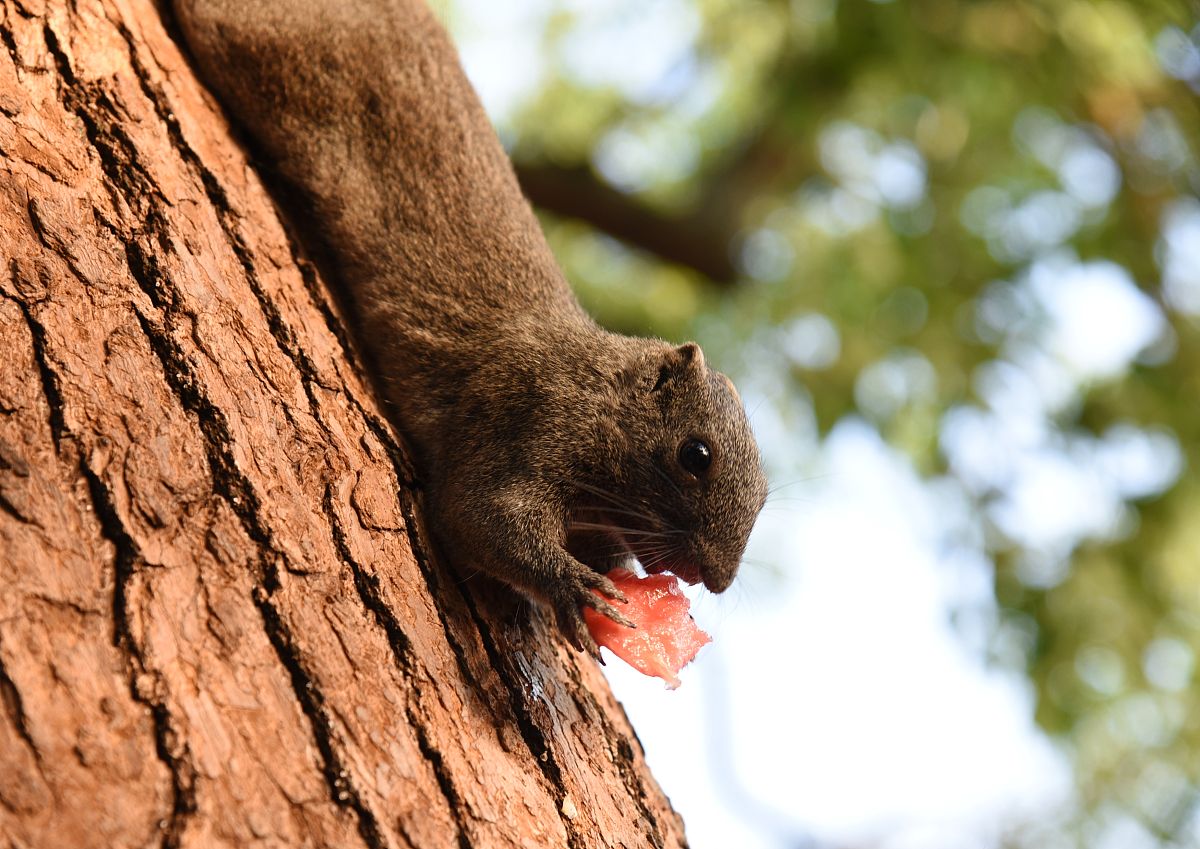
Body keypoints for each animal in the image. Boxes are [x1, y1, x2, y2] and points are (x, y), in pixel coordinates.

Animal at [170, 0, 768, 657]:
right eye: (696, 455)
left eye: (765, 495)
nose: (715, 580)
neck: (596, 385)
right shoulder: (526, 412)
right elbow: (478, 515)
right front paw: (570, 585)